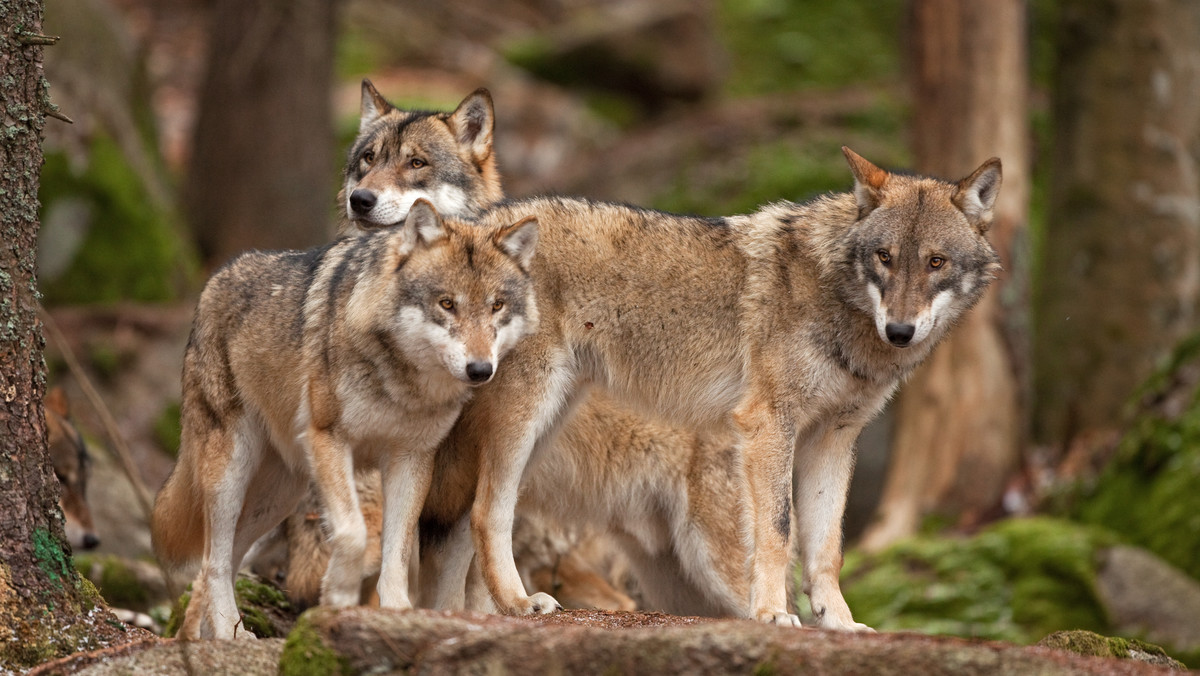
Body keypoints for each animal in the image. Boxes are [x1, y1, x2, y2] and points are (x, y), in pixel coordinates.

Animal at [148, 200, 540, 638]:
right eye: (447, 304)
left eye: (496, 306)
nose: (480, 370)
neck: (402, 383)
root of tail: (215, 279)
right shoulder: (330, 440)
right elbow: (352, 534)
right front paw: (336, 595)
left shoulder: (411, 459)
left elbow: (396, 552)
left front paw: (398, 612)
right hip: (230, 476)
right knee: (213, 560)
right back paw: (228, 634)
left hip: (278, 497)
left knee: (224, 559)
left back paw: (219, 634)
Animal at [427, 148, 1008, 629]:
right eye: (884, 257)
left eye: (936, 262)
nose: (901, 331)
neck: (837, 301)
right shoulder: (769, 424)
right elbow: (777, 532)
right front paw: (773, 614)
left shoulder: (834, 439)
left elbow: (826, 551)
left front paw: (840, 625)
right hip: (527, 420)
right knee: (486, 513)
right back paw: (517, 603)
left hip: (550, 433)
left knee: (463, 523)